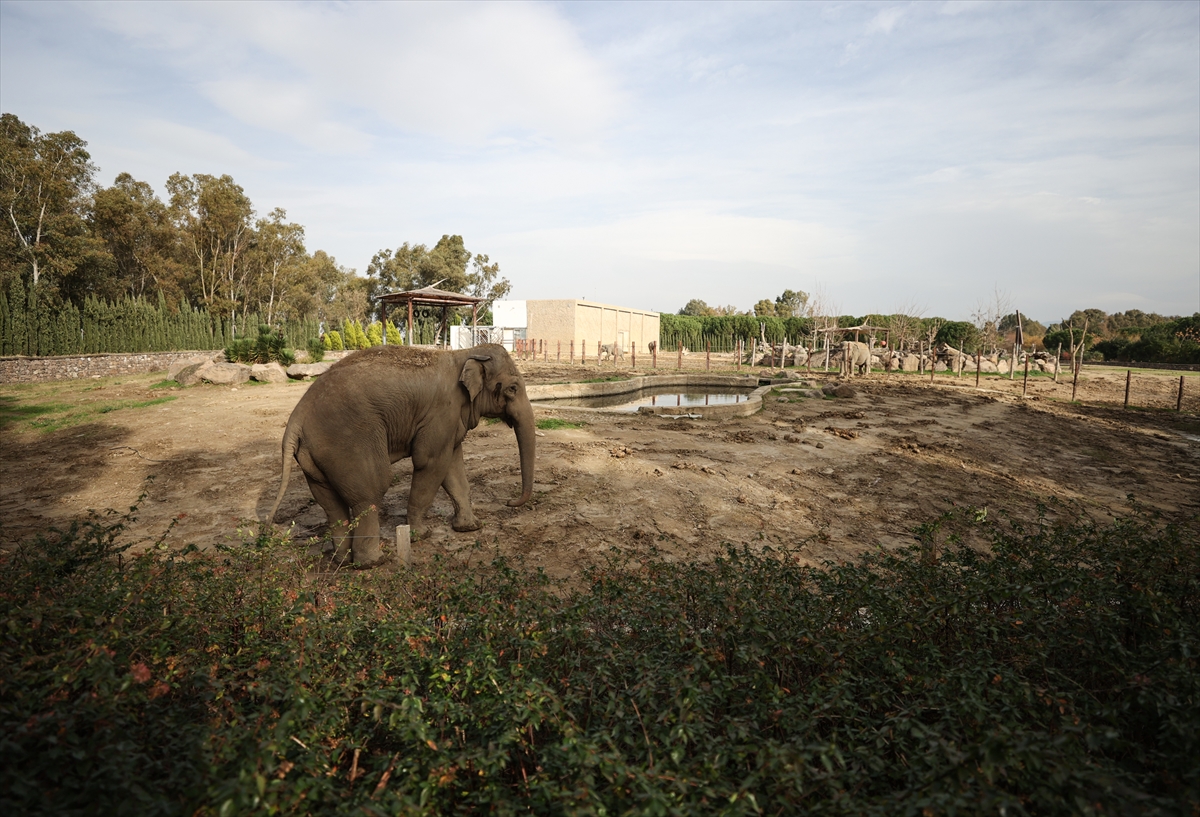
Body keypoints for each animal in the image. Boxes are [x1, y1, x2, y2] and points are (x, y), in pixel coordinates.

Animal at [272, 340, 540, 563]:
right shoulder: (441, 413)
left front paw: (470, 528)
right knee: (371, 491)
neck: (463, 354)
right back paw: (372, 562)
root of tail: (296, 417)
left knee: (329, 502)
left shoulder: (451, 420)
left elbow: (453, 468)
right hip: (348, 442)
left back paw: (342, 560)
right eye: (512, 389)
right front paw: (421, 535)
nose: (509, 502)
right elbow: (429, 462)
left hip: (313, 455)